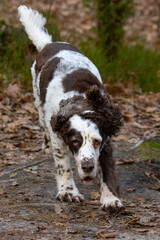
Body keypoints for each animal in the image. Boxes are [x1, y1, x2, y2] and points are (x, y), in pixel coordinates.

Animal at [17, 5, 124, 212]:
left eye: (97, 141)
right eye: (75, 142)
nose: (88, 166)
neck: (81, 100)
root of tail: (49, 44)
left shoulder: (106, 140)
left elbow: (107, 171)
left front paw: (110, 199)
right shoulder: (58, 136)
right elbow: (63, 165)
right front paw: (68, 192)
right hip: (38, 103)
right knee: (43, 126)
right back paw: (45, 145)